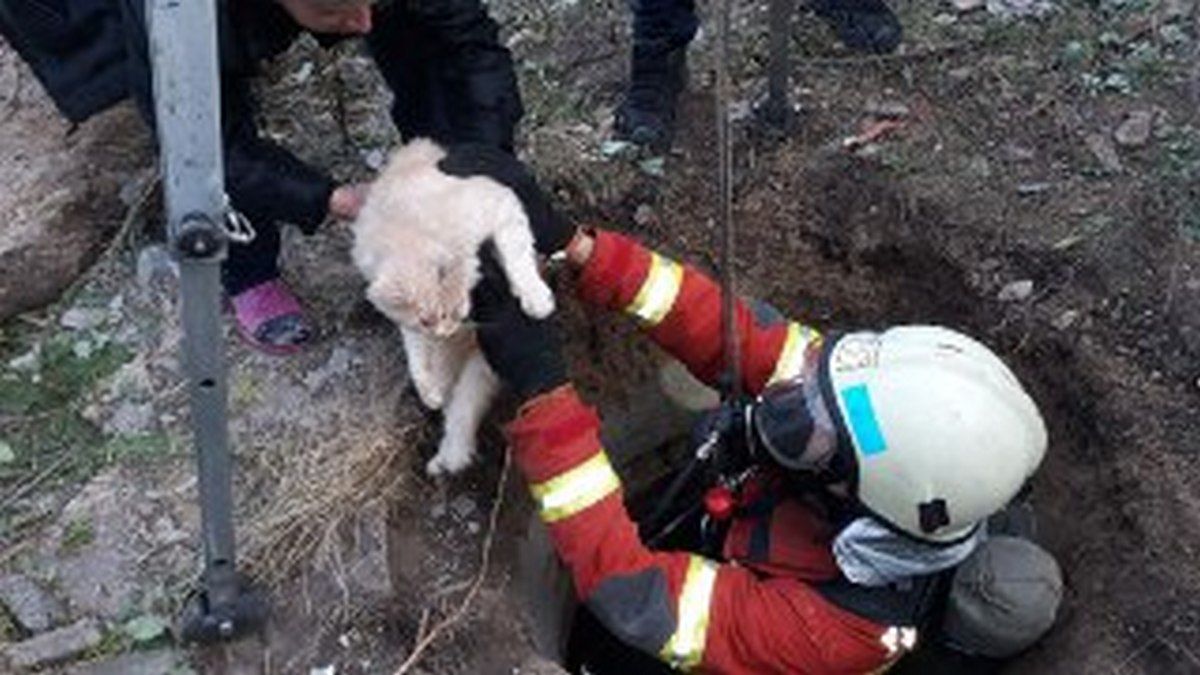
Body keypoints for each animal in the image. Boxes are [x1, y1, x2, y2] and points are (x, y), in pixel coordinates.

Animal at [348, 138, 552, 473]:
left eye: (454, 313)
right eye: (427, 322)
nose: (445, 332)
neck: (408, 228)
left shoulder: (502, 203)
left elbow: (517, 256)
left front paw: (535, 296)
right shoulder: (411, 328)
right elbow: (415, 355)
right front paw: (426, 388)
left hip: (481, 365)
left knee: (462, 408)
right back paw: (444, 453)